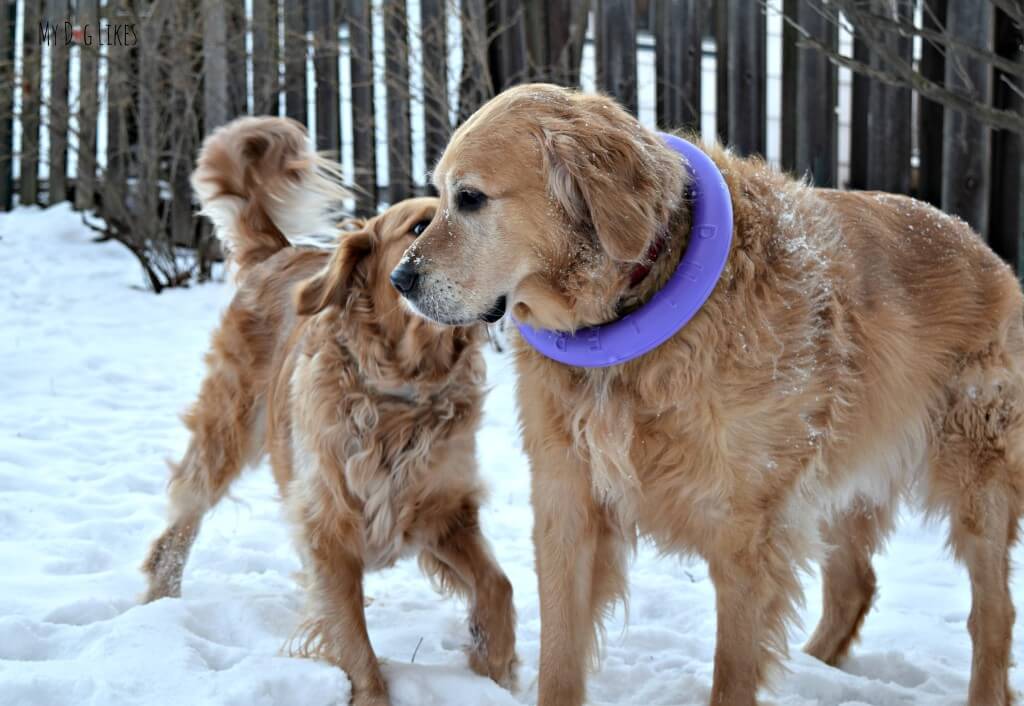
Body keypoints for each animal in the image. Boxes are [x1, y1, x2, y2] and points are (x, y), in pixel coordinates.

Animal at [140, 115, 516, 704]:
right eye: (418, 225)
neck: (404, 389)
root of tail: (279, 251)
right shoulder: (329, 524)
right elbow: (353, 639)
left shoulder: (446, 511)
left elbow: (498, 586)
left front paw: (493, 666)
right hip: (226, 429)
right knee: (181, 519)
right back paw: (159, 606)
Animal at [389, 84, 1024, 704]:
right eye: (438, 197)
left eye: (471, 198)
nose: (400, 279)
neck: (630, 312)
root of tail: (983, 249)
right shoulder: (567, 502)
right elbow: (559, 659)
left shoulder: (746, 529)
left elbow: (734, 668)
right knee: (855, 585)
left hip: (976, 482)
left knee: (992, 613)